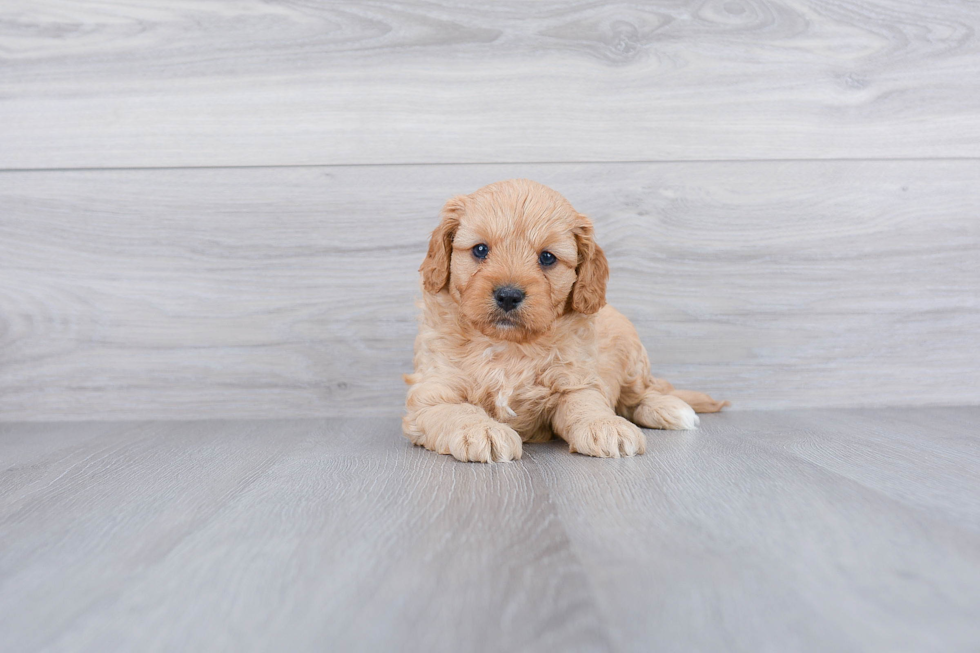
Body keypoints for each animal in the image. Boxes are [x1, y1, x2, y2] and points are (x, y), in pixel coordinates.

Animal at [400, 180, 728, 464]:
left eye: (547, 258)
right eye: (480, 249)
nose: (508, 295)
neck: (508, 346)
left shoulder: (577, 381)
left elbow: (587, 404)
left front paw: (606, 426)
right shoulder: (434, 391)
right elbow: (456, 411)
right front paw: (482, 430)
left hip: (633, 356)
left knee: (642, 393)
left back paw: (670, 407)